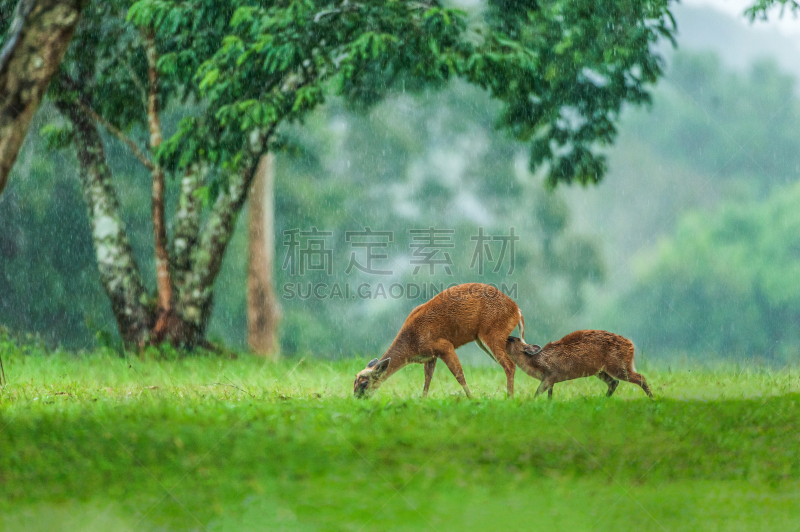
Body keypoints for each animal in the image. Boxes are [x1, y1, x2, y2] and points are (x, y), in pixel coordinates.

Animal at [350, 284, 524, 396]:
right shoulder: (430, 356)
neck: (412, 344)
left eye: (364, 383)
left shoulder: (444, 346)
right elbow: (427, 380)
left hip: (493, 333)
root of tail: (517, 311)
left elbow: (459, 375)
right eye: (354, 381)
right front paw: (422, 400)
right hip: (484, 340)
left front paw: (472, 399)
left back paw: (510, 397)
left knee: (509, 365)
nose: (357, 398)